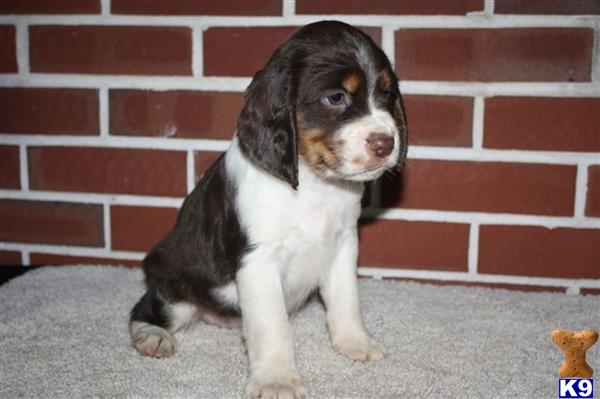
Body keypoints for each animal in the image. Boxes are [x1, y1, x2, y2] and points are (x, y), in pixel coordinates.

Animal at [130, 19, 408, 399]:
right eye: (336, 98)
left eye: (387, 94)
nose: (386, 143)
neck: (312, 185)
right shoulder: (258, 260)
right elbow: (272, 326)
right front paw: (277, 380)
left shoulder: (343, 244)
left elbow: (346, 299)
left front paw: (356, 343)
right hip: (173, 285)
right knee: (146, 308)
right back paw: (153, 337)